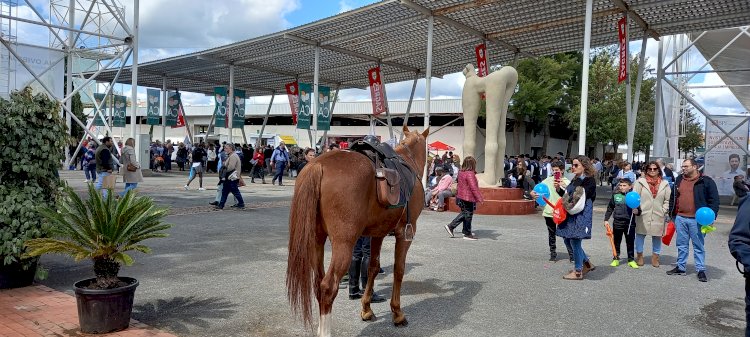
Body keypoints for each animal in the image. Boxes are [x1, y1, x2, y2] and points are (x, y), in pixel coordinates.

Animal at [288, 124, 428, 334]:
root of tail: (317, 165)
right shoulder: (406, 232)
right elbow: (399, 269)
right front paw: (397, 313)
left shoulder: (377, 234)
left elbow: (372, 267)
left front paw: (367, 309)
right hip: (344, 244)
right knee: (328, 287)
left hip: (316, 241)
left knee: (318, 284)